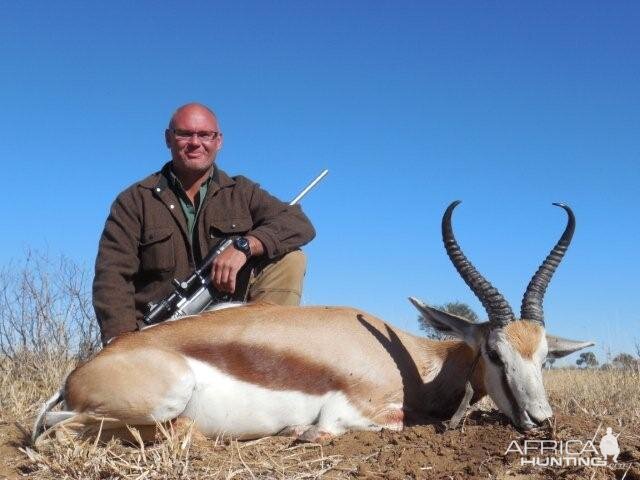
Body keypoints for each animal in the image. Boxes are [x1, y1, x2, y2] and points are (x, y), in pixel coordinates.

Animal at [33, 200, 596, 442]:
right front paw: (301, 434)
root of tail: (78, 374)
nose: (542, 421)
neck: (411, 361)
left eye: (544, 357)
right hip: (161, 396)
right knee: (55, 432)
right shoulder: (354, 409)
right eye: (494, 353)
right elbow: (334, 428)